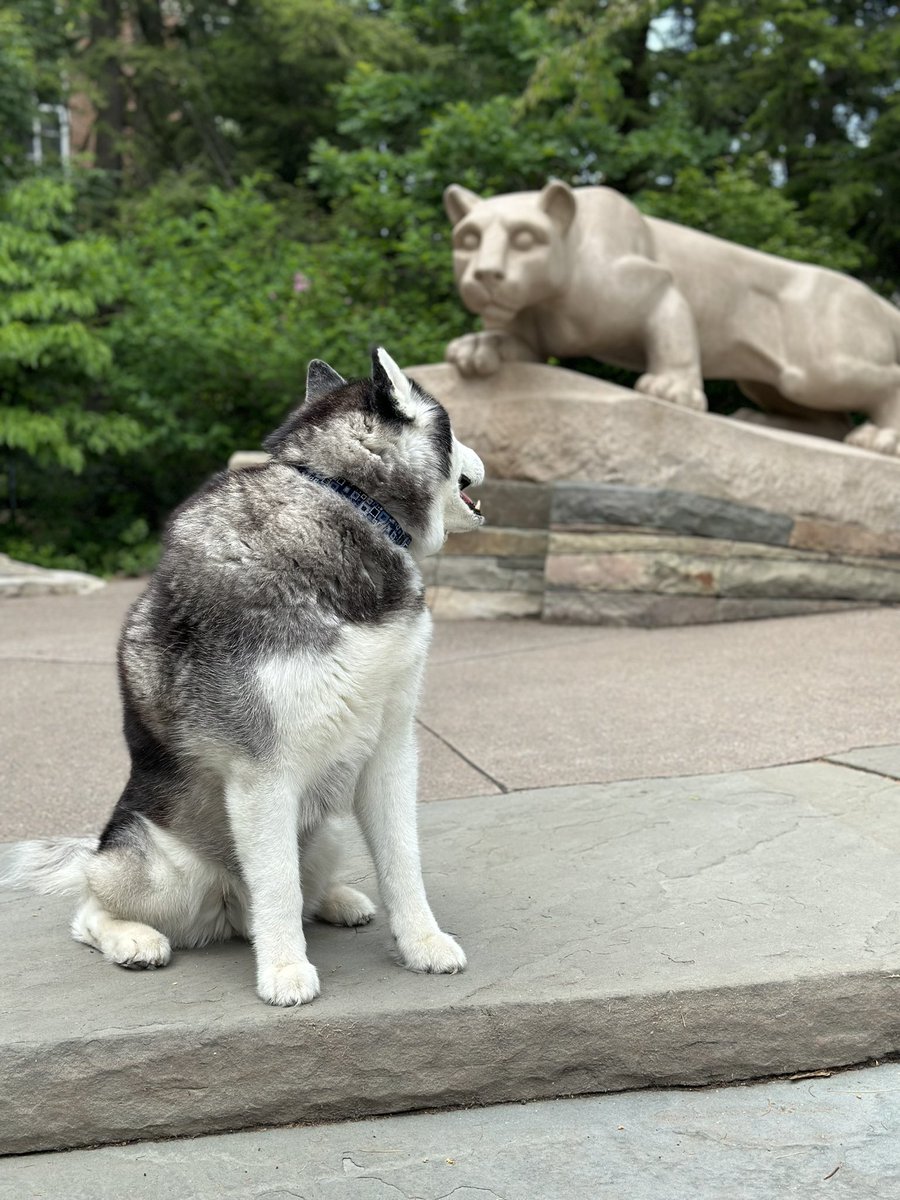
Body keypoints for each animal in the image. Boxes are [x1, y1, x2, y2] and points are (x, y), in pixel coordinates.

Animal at [7, 348, 487, 1003]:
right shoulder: (263, 772)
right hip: (158, 869)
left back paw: (337, 900)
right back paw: (134, 939)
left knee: (304, 887)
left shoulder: (390, 748)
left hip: (325, 826)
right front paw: (284, 972)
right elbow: (278, 885)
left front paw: (422, 943)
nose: (482, 460)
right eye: (455, 430)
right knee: (91, 909)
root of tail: (232, 913)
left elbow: (402, 861)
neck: (344, 501)